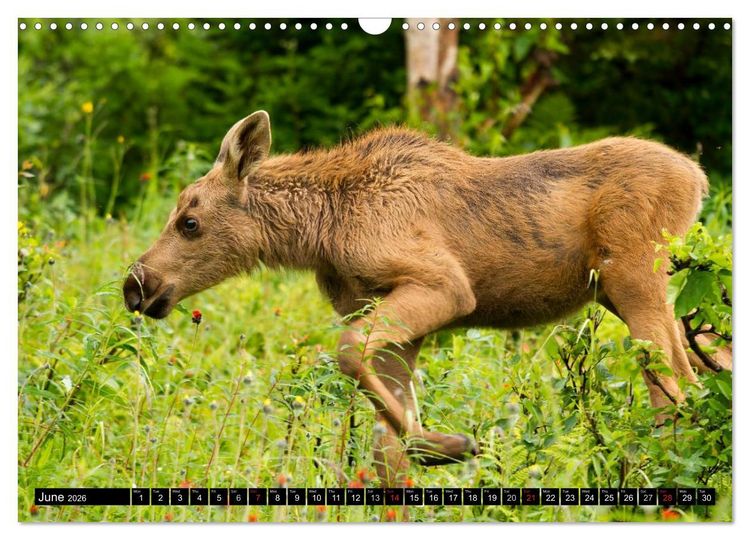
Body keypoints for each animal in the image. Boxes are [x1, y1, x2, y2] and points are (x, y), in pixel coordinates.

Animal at [123, 110, 731, 487]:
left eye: (190, 222)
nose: (136, 285)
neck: (321, 230)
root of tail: (698, 177)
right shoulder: (394, 318)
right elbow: (382, 446)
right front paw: (429, 450)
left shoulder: (443, 284)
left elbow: (351, 357)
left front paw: (444, 444)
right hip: (633, 292)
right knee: (704, 368)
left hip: (634, 275)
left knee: (676, 388)